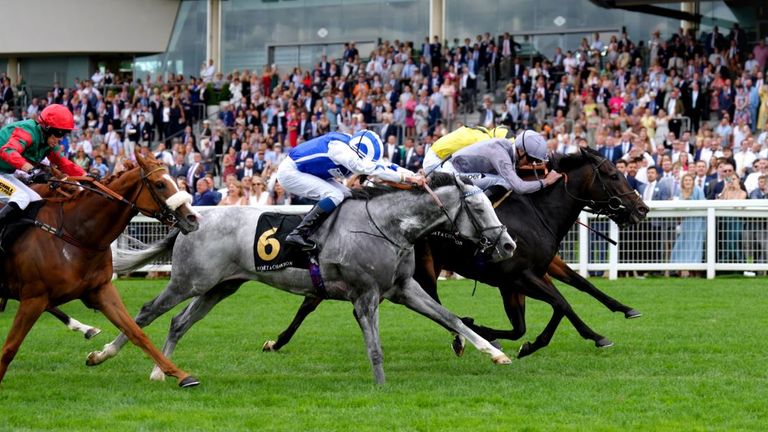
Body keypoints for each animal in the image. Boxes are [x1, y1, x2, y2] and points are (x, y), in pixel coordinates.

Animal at [0, 153, 201, 388]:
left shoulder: (101, 290)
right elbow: (10, 347)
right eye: (160, 184)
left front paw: (180, 375)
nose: (192, 219)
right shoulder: (34, 297)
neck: (75, 234)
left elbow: (136, 332)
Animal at [85, 173, 516, 384]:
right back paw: (103, 354)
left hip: (220, 287)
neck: (389, 224)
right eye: (480, 208)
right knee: (144, 314)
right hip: (188, 281)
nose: (508, 244)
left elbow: (451, 318)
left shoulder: (402, 289)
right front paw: (381, 387)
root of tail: (193, 219)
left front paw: (496, 353)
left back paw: (162, 369)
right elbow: (375, 347)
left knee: (178, 322)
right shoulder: (365, 296)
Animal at [262, 148, 648, 358]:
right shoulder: (520, 275)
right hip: (422, 266)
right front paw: (536, 342)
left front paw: (618, 315)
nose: (641, 209)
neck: (536, 211)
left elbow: (569, 294)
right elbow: (560, 305)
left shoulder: (525, 275)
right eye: (612, 174)